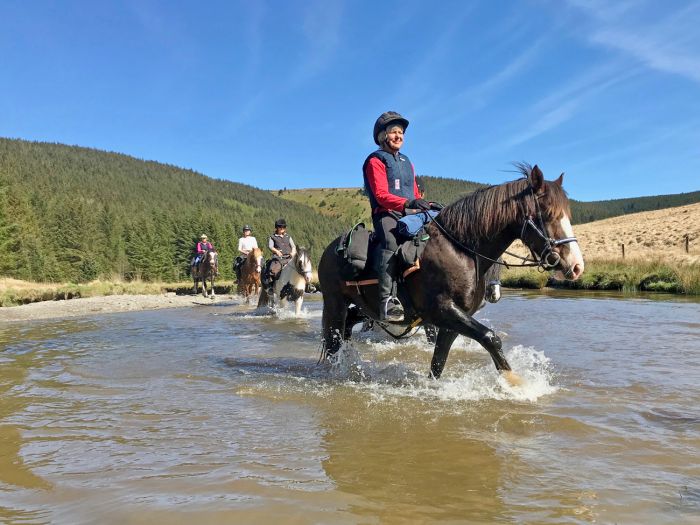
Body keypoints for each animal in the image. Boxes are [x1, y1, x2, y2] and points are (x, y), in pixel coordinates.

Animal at [318, 165, 584, 384]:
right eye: (548, 213)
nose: (577, 266)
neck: (460, 250)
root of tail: (330, 249)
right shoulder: (442, 310)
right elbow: (490, 338)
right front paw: (517, 383)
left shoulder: (454, 319)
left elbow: (439, 360)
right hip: (335, 303)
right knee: (333, 342)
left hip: (364, 307)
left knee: (348, 328)